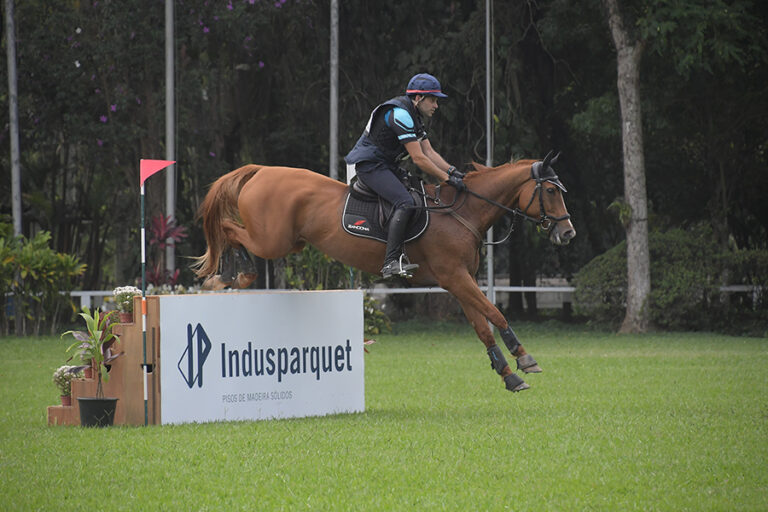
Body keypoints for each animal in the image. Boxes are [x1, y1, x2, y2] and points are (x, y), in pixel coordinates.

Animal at [194, 152, 576, 392]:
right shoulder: (456, 277)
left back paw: (230, 277)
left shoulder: (458, 283)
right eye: (551, 190)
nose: (568, 233)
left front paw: (509, 375)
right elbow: (496, 313)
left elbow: (482, 327)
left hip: (291, 243)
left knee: (231, 230)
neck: (462, 212)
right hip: (272, 240)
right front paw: (524, 357)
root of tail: (262, 170)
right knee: (227, 228)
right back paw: (228, 276)